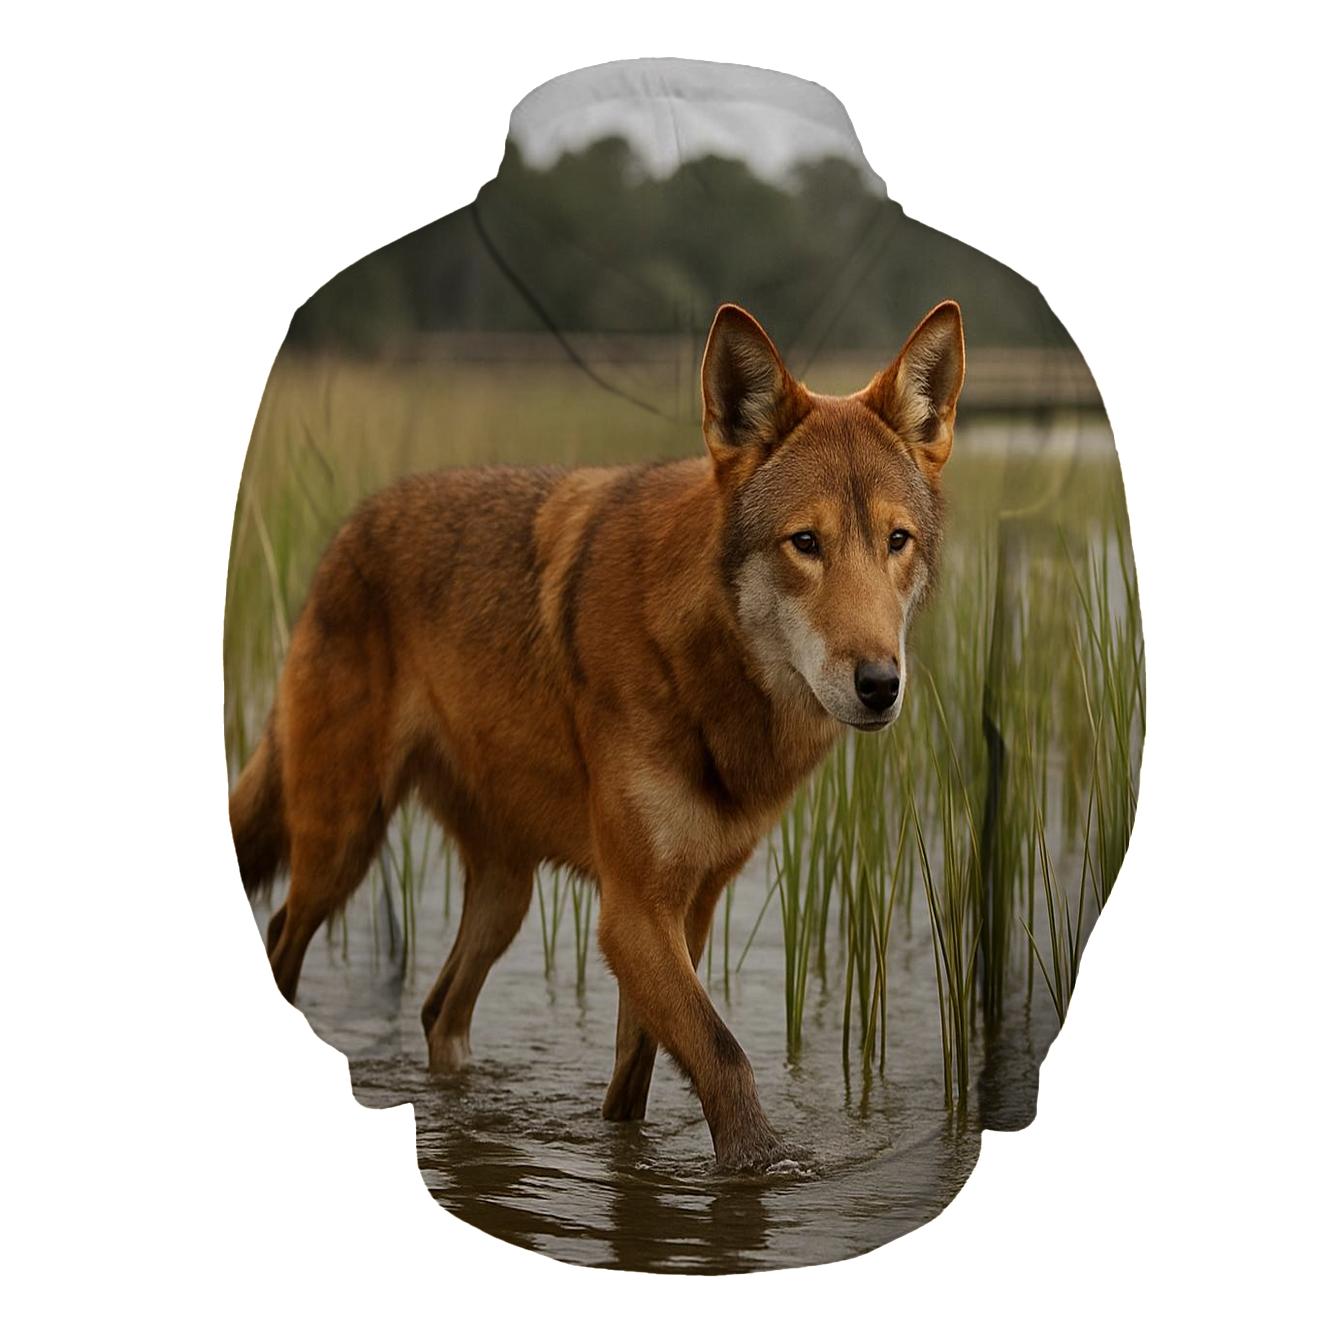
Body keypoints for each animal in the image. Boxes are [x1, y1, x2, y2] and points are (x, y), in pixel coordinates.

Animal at [230, 300, 965, 1170]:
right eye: (806, 543)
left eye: (896, 540)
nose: (880, 685)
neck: (707, 674)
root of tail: (347, 531)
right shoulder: (632, 912)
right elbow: (725, 1058)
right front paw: (763, 1166)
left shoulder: (686, 908)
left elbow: (636, 1079)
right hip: (344, 844)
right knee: (283, 937)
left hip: (503, 896)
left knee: (439, 1006)